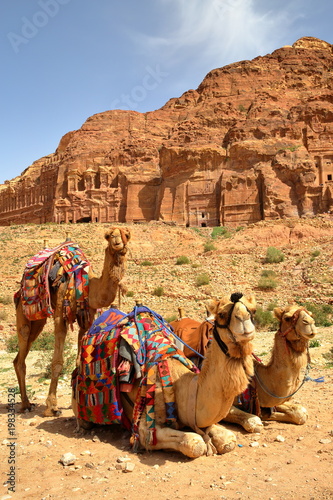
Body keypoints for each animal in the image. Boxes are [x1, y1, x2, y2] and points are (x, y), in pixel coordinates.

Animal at [14, 227, 131, 418]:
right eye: (108, 236)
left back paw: (26, 402)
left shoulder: (86, 318)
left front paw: (76, 401)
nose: (117, 242)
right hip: (23, 311)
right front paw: (51, 407)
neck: (88, 285)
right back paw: (25, 404)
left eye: (126, 234)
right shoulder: (60, 314)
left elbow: (78, 361)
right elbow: (57, 362)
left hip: (38, 321)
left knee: (20, 355)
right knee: (21, 352)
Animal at [72, 292, 254, 458]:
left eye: (253, 310)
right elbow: (195, 443)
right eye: (221, 314)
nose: (244, 320)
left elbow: (228, 439)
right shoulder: (144, 427)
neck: (183, 389)